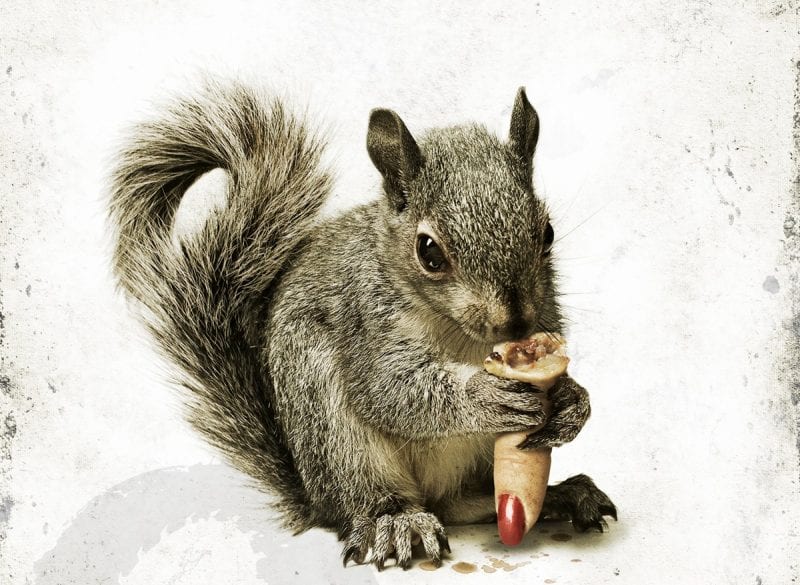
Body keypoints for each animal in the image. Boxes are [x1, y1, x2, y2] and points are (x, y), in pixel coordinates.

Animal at [109, 81, 617, 570]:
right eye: (429, 252)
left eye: (547, 232)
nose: (514, 324)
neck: (463, 337)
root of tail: (315, 499)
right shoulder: (367, 323)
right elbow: (390, 390)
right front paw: (485, 395)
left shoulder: (546, 313)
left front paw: (573, 401)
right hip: (332, 427)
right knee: (374, 497)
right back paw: (394, 521)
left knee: (463, 504)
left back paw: (560, 496)